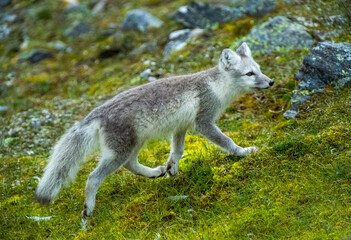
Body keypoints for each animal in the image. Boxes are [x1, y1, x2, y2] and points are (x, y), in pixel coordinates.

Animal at [35, 42, 276, 218]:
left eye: (259, 70)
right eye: (249, 74)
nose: (271, 81)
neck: (216, 87)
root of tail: (98, 112)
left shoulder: (181, 127)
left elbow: (177, 151)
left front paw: (172, 169)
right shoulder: (203, 122)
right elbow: (227, 142)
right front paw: (243, 152)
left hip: (132, 145)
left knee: (130, 165)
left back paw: (154, 173)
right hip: (121, 150)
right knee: (93, 177)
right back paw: (88, 211)